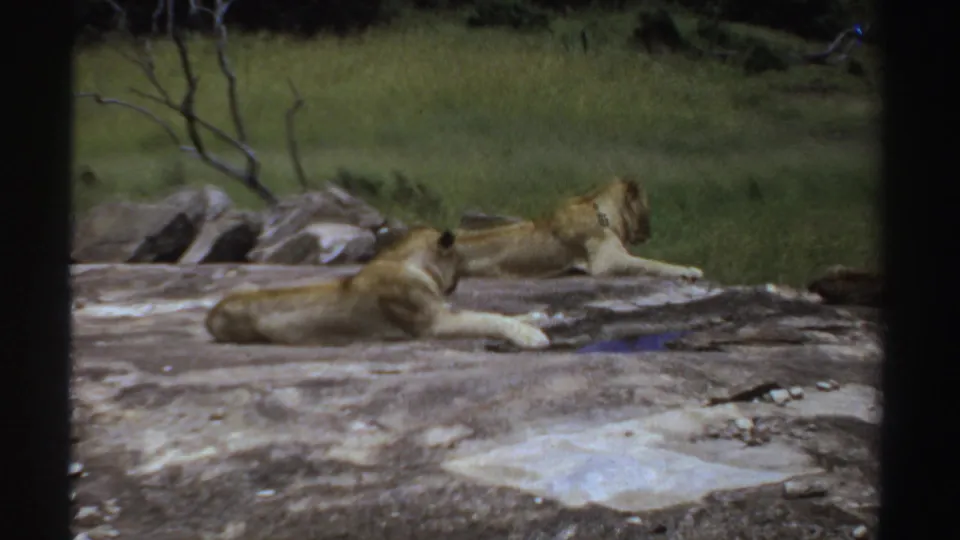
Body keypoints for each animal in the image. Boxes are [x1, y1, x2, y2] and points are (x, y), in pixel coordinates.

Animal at [204, 227, 551, 349]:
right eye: (459, 260)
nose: (456, 284)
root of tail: (210, 314)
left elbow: (495, 312)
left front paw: (537, 317)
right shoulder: (433, 324)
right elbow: (488, 318)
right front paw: (532, 336)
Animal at [452, 176, 704, 280]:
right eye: (647, 208)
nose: (650, 233)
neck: (606, 215)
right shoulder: (606, 262)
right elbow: (652, 264)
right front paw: (690, 270)